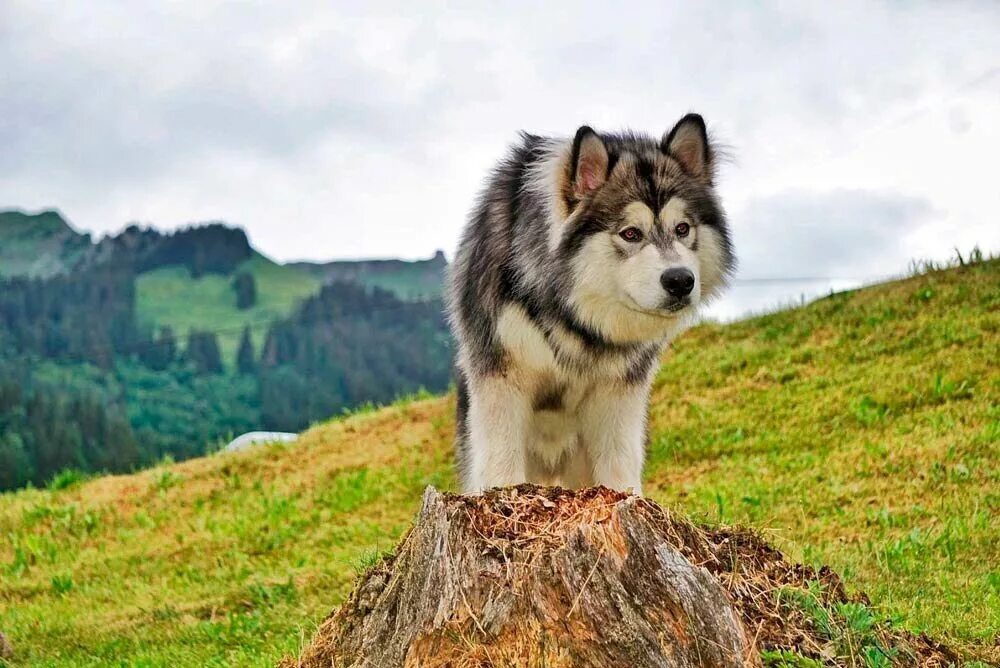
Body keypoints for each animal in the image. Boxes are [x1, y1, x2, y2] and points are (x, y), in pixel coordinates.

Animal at [446, 113, 736, 496]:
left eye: (683, 228)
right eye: (630, 233)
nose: (680, 281)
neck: (572, 314)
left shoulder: (618, 392)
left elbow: (619, 464)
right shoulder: (501, 378)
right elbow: (501, 462)